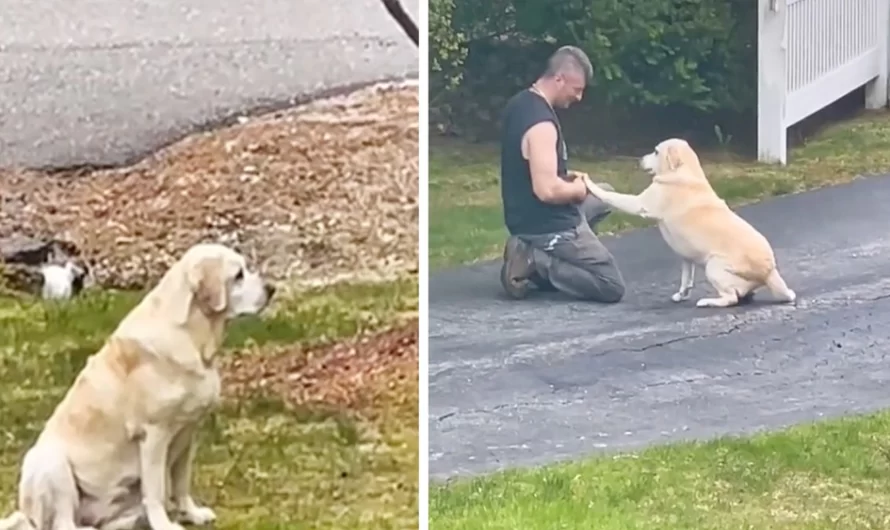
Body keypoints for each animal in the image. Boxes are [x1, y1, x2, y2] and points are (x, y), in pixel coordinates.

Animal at [0, 241, 276, 524]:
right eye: (238, 275)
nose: (272, 289)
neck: (192, 336)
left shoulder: (188, 433)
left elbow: (181, 482)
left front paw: (192, 513)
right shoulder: (153, 434)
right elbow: (156, 490)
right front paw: (165, 524)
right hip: (49, 462)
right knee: (64, 522)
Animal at [580, 138, 796, 308]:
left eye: (656, 151)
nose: (639, 159)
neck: (683, 172)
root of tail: (769, 272)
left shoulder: (639, 204)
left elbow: (612, 196)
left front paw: (589, 183)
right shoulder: (687, 256)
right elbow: (686, 278)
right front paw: (681, 294)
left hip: (713, 267)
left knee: (731, 298)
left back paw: (709, 302)